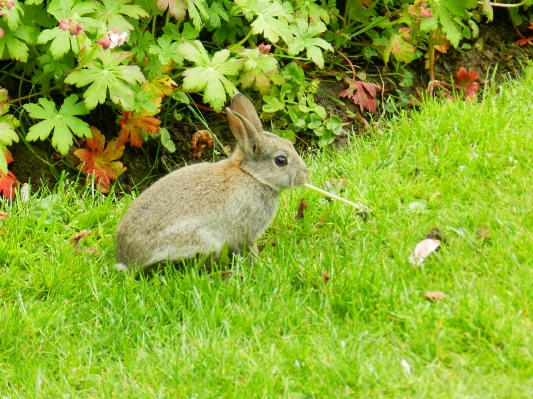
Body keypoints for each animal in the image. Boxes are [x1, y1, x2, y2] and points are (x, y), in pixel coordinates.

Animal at [116, 93, 308, 272]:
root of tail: (128, 261)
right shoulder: (247, 230)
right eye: (281, 161)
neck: (252, 175)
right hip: (200, 240)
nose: (304, 176)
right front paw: (257, 265)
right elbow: (249, 248)